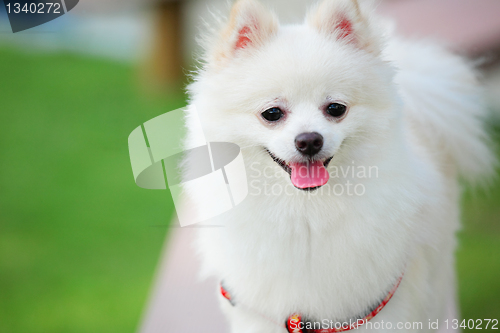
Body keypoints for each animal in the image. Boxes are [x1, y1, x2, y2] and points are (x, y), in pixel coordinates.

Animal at [181, 0, 496, 330]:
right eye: (272, 113)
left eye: (335, 108)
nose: (309, 140)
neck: (306, 212)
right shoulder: (260, 314)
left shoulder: (379, 309)